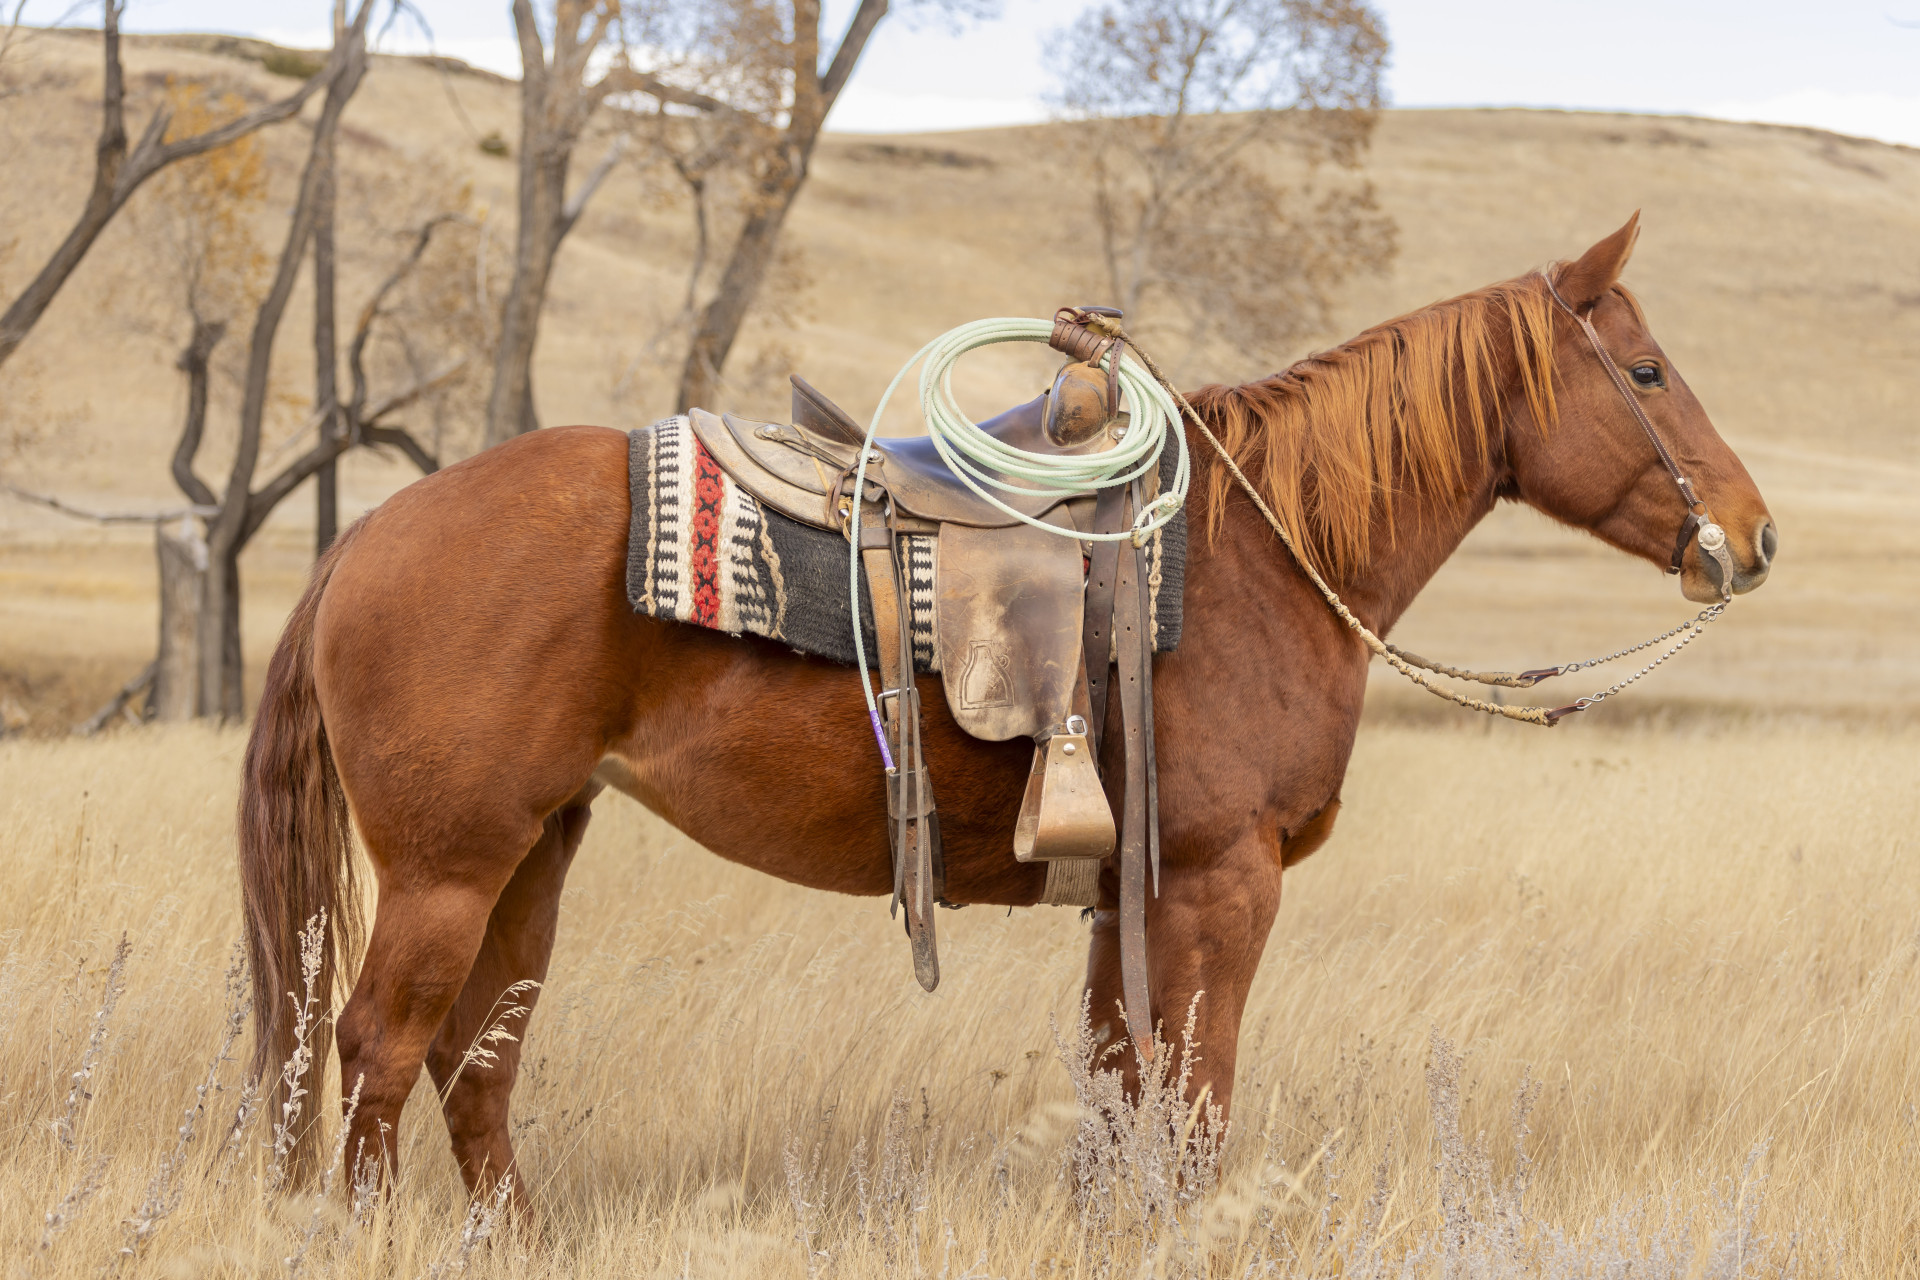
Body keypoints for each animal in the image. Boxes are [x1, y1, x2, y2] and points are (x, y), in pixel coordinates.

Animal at [238, 215, 1775, 1201]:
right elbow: (1196, 1107)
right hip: (447, 866)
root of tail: (365, 537)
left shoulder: (1126, 899)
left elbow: (1118, 1089)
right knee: (378, 1049)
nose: (1752, 538)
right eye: (1646, 372)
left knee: (474, 1061)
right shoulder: (1223, 882)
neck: (1260, 554)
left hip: (534, 851)